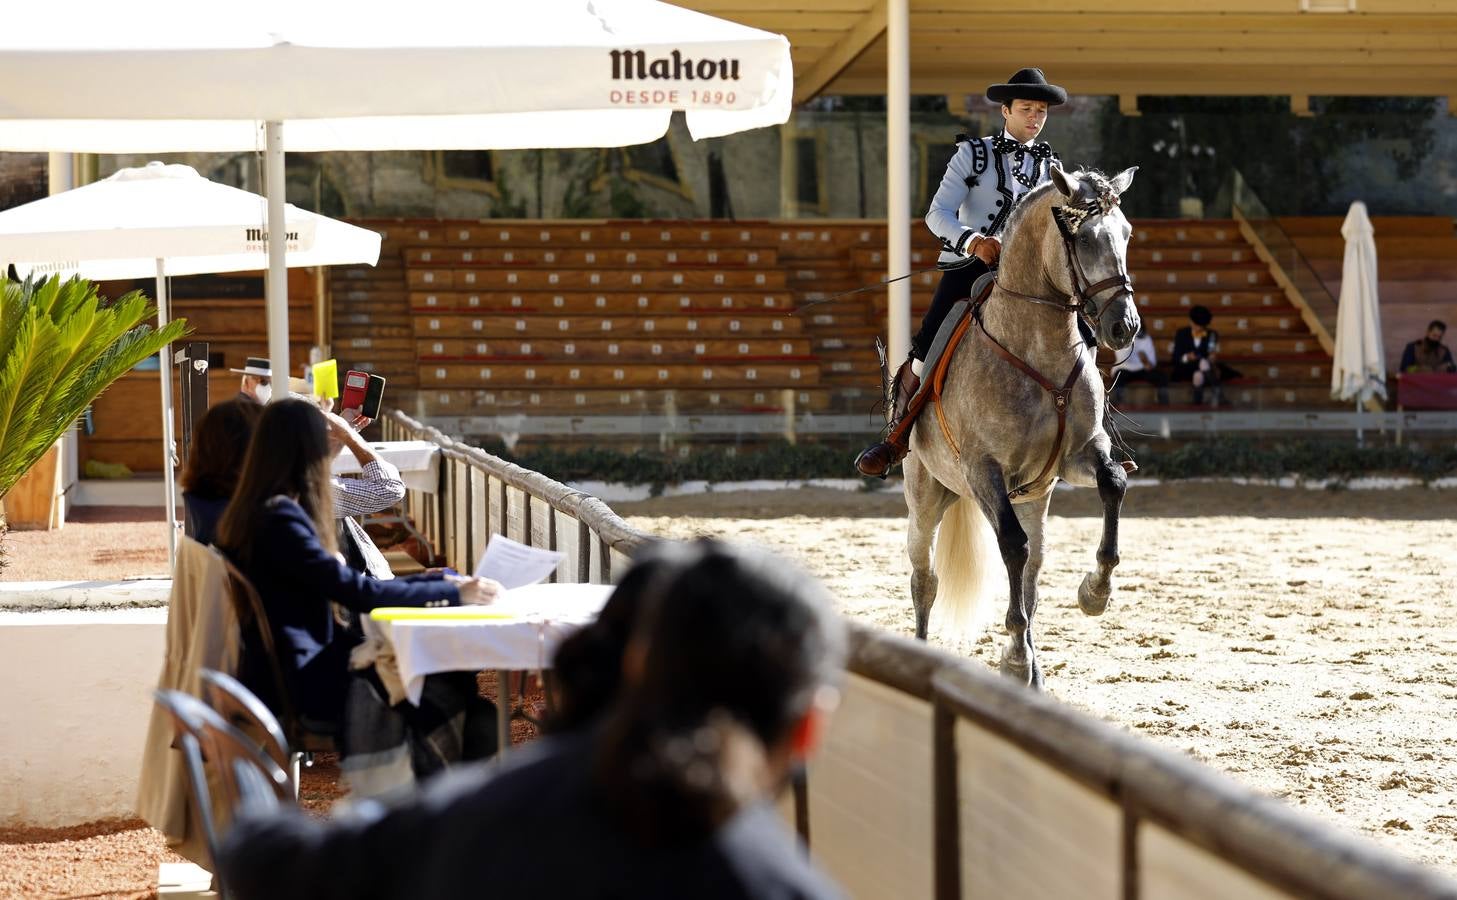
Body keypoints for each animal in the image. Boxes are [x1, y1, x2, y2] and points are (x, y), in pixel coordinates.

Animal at [903, 163, 1142, 687]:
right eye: (1084, 238)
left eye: (1127, 233)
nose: (1126, 326)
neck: (1039, 350)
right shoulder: (984, 471)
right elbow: (1011, 545)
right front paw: (1013, 656)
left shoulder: (1078, 455)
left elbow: (1113, 483)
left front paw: (1095, 592)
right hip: (925, 498)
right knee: (925, 581)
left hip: (1033, 497)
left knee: (1032, 575)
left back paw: (1035, 672)